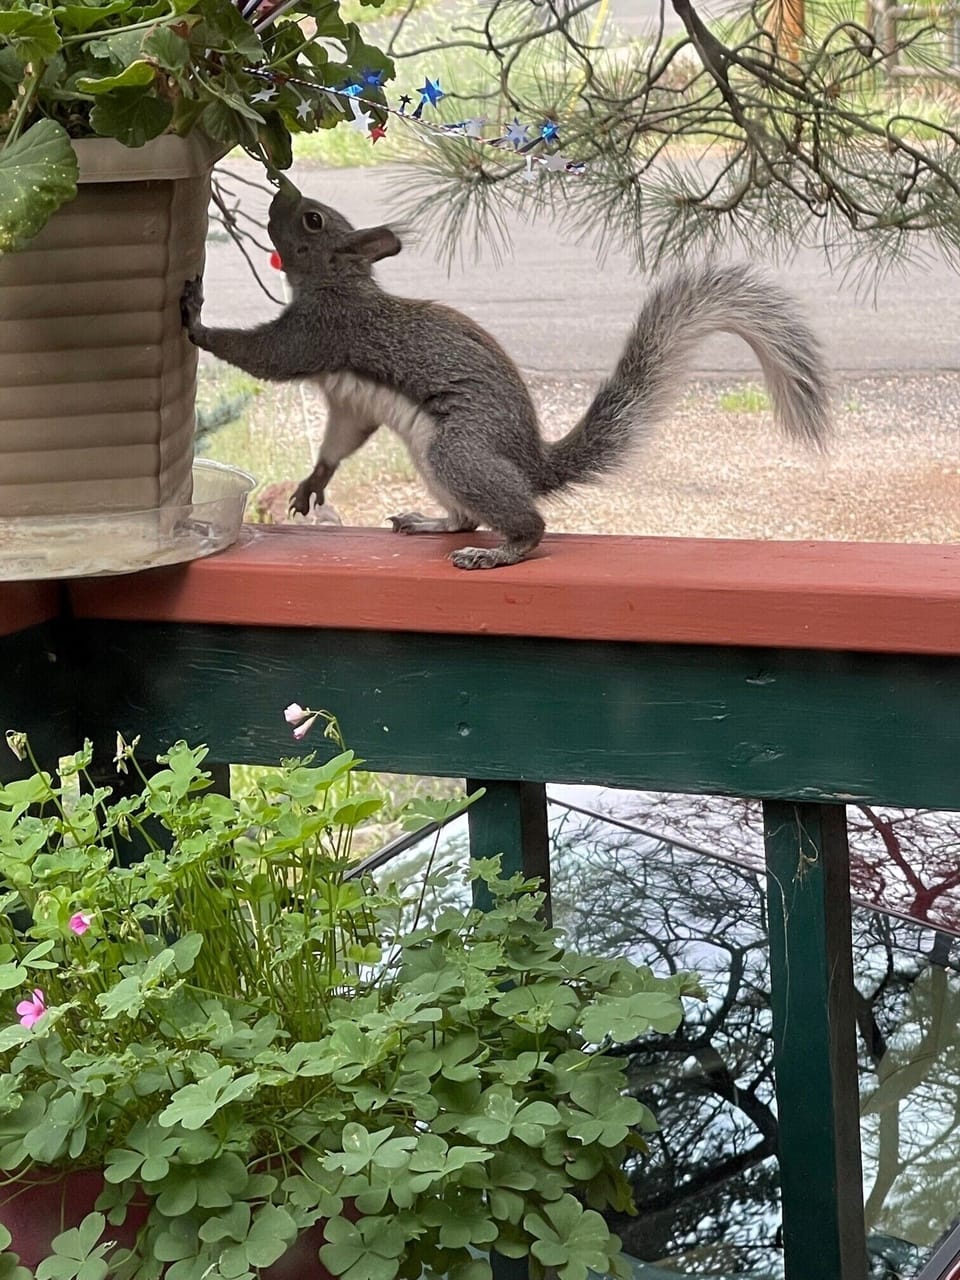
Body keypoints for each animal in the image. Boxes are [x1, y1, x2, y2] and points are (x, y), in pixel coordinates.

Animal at [181, 182, 830, 571]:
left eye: (311, 220)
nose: (280, 189)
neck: (339, 284)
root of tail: (531, 462)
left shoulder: (321, 333)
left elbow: (262, 355)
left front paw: (197, 322)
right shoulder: (351, 403)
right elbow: (343, 437)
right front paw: (314, 481)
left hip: (458, 451)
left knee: (526, 522)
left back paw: (502, 550)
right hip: (433, 458)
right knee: (467, 516)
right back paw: (432, 522)